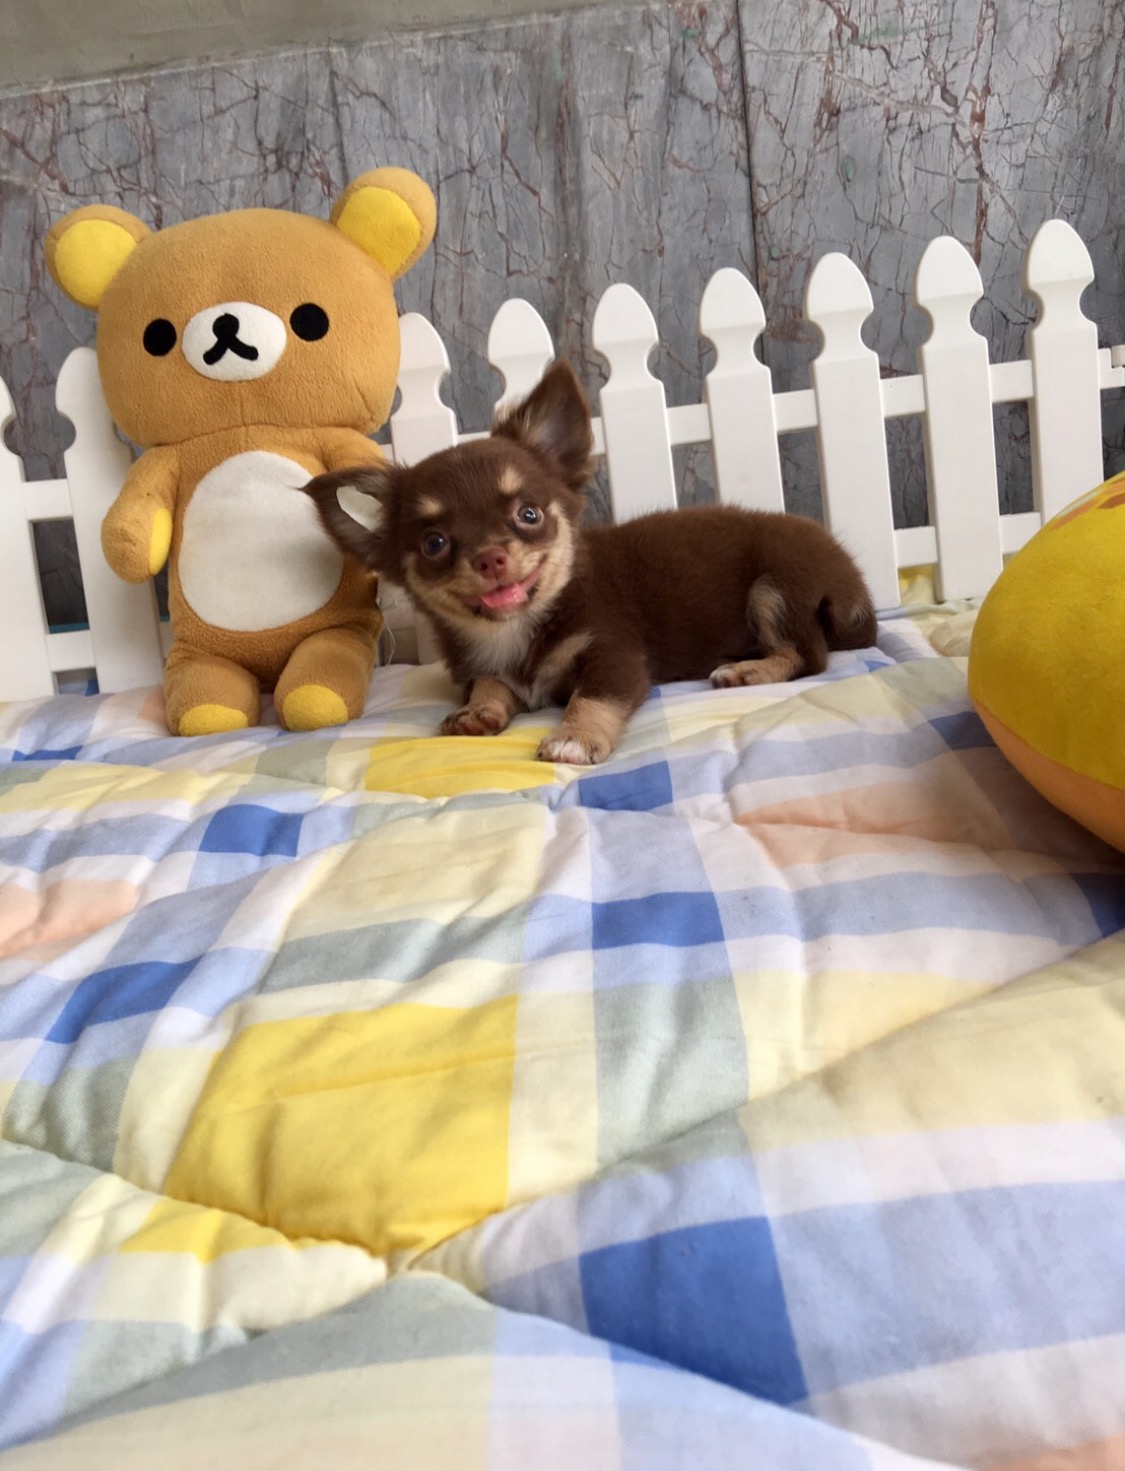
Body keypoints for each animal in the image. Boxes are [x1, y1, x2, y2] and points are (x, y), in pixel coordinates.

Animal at [304, 361, 877, 765]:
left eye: (528, 514)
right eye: (434, 543)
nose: (490, 557)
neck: (514, 629)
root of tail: (851, 580)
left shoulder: (613, 655)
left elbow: (592, 698)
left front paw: (573, 738)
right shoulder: (488, 669)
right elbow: (492, 684)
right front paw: (476, 711)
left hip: (775, 586)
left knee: (810, 655)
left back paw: (747, 670)